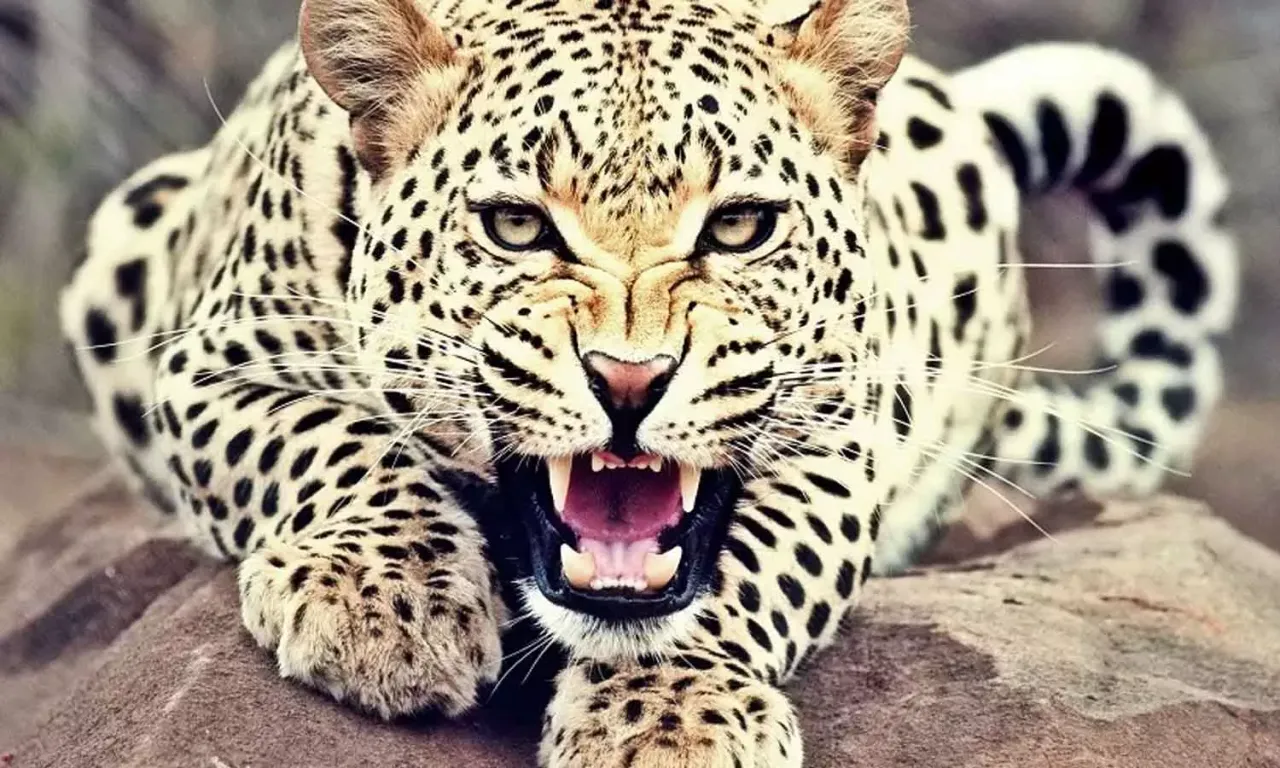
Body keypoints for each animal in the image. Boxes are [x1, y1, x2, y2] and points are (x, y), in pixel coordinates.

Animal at [59, 0, 1238, 765]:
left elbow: (744, 573)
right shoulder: (212, 360)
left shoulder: (843, 431)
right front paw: (386, 605)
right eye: (516, 226)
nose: (629, 379)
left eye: (741, 226)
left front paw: (670, 719)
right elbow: (333, 444)